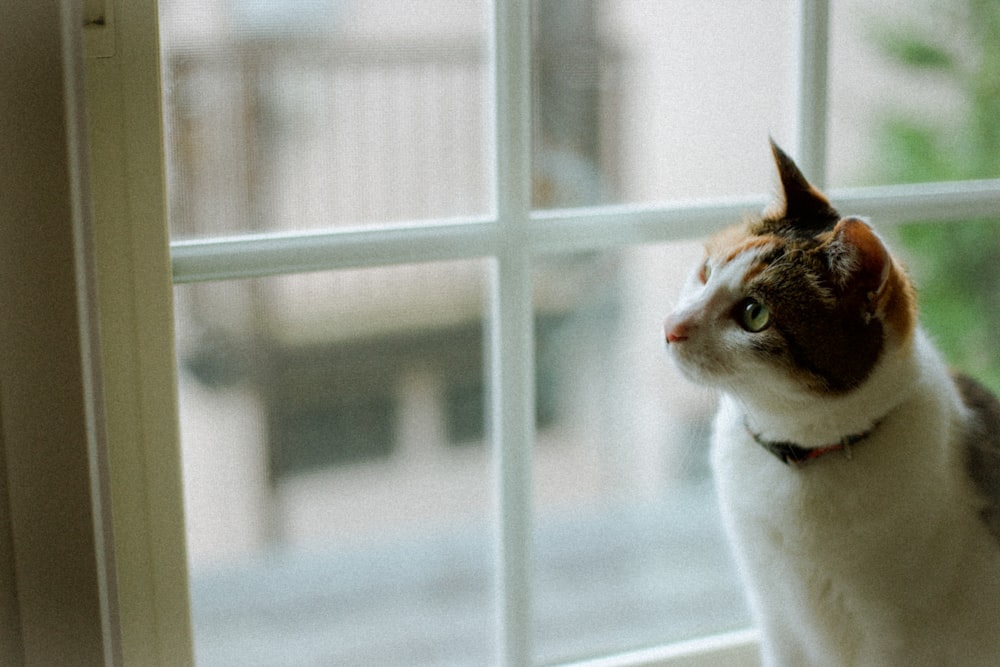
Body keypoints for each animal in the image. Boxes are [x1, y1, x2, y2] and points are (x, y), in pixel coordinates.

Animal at [664, 141, 1000, 667]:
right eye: (705, 273)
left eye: (754, 314)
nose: (671, 328)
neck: (798, 458)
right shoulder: (776, 618)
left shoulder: (895, 640)